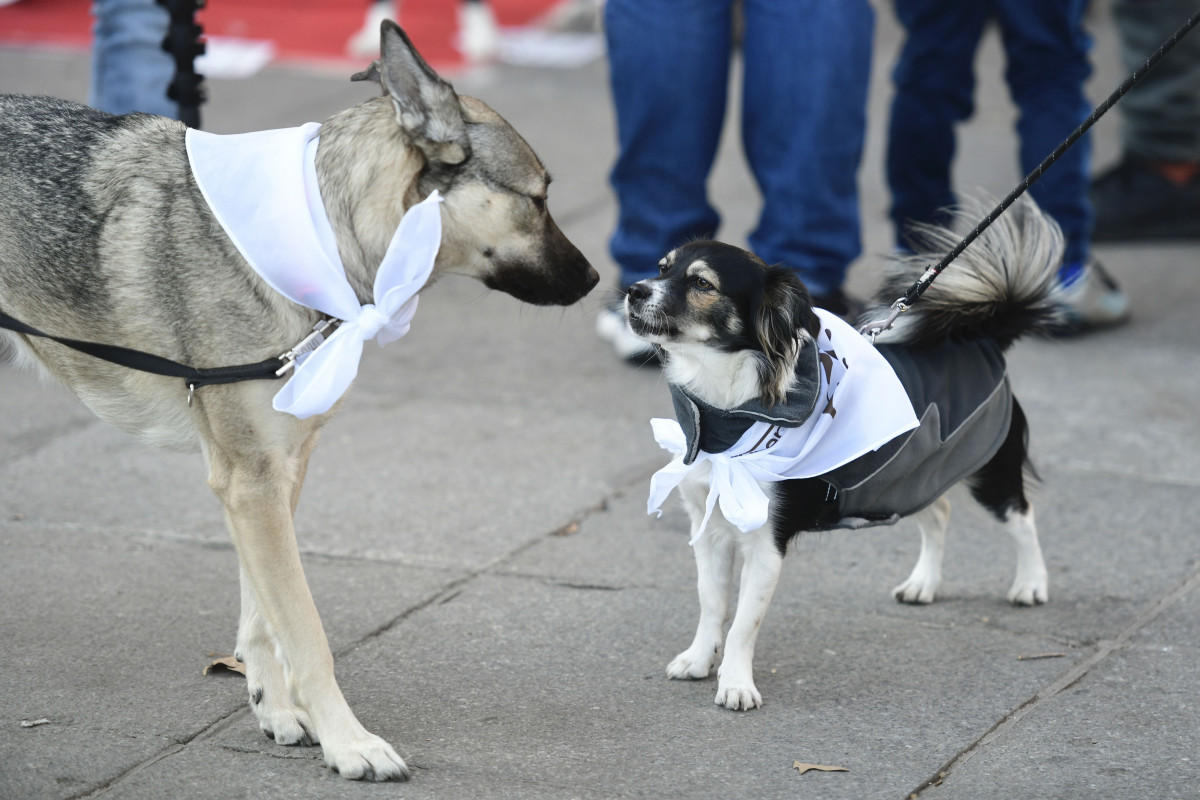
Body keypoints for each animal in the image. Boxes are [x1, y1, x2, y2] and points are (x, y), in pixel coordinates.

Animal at [0, 20, 597, 782]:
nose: (599, 279)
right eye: (538, 199)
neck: (325, 233)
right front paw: (348, 741)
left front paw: (276, 708)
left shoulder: (278, 471)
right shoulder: (250, 480)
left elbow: (265, 615)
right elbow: (306, 631)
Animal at [624, 196, 1065, 710]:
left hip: (989, 471)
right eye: (661, 268)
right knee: (939, 514)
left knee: (1021, 516)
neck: (726, 416)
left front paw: (735, 683)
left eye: (701, 284)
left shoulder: (766, 545)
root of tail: (984, 338)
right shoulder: (710, 529)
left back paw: (1031, 584)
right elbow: (711, 603)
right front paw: (698, 659)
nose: (634, 289)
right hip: (908, 474)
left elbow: (742, 623)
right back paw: (924, 584)